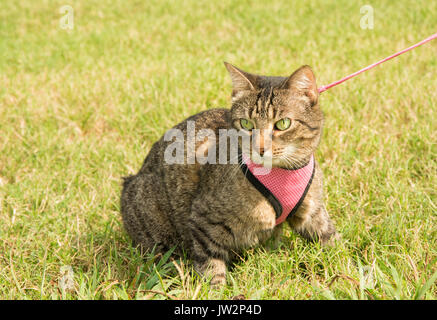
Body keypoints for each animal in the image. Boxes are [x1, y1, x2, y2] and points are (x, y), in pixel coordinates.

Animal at [121, 63, 338, 284]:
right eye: (246, 124)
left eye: (283, 123)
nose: (259, 148)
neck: (283, 173)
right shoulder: (204, 220)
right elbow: (210, 264)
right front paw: (216, 288)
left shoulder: (312, 213)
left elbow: (330, 238)